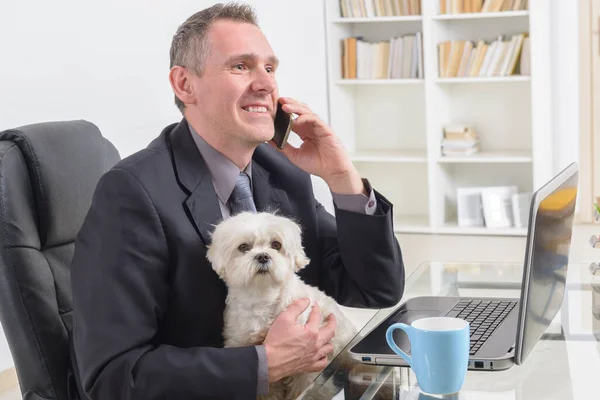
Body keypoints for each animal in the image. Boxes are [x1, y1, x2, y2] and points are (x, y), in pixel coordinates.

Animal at [207, 211, 356, 398]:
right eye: (243, 247)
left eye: (276, 245)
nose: (263, 256)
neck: (264, 297)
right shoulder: (242, 343)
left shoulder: (308, 364)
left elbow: (303, 386)